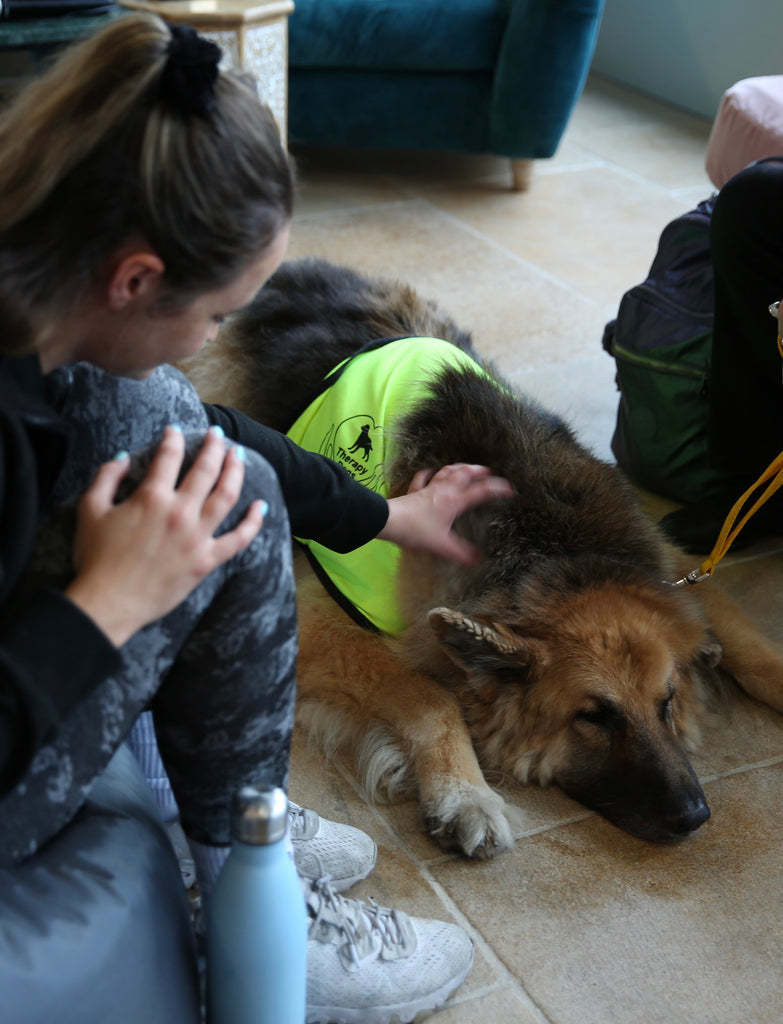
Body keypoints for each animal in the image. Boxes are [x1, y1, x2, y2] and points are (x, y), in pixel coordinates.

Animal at [185, 256, 781, 856]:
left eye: (667, 702)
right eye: (593, 717)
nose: (695, 816)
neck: (550, 554)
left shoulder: (674, 563)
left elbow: (746, 642)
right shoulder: (322, 618)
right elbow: (432, 698)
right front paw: (465, 795)